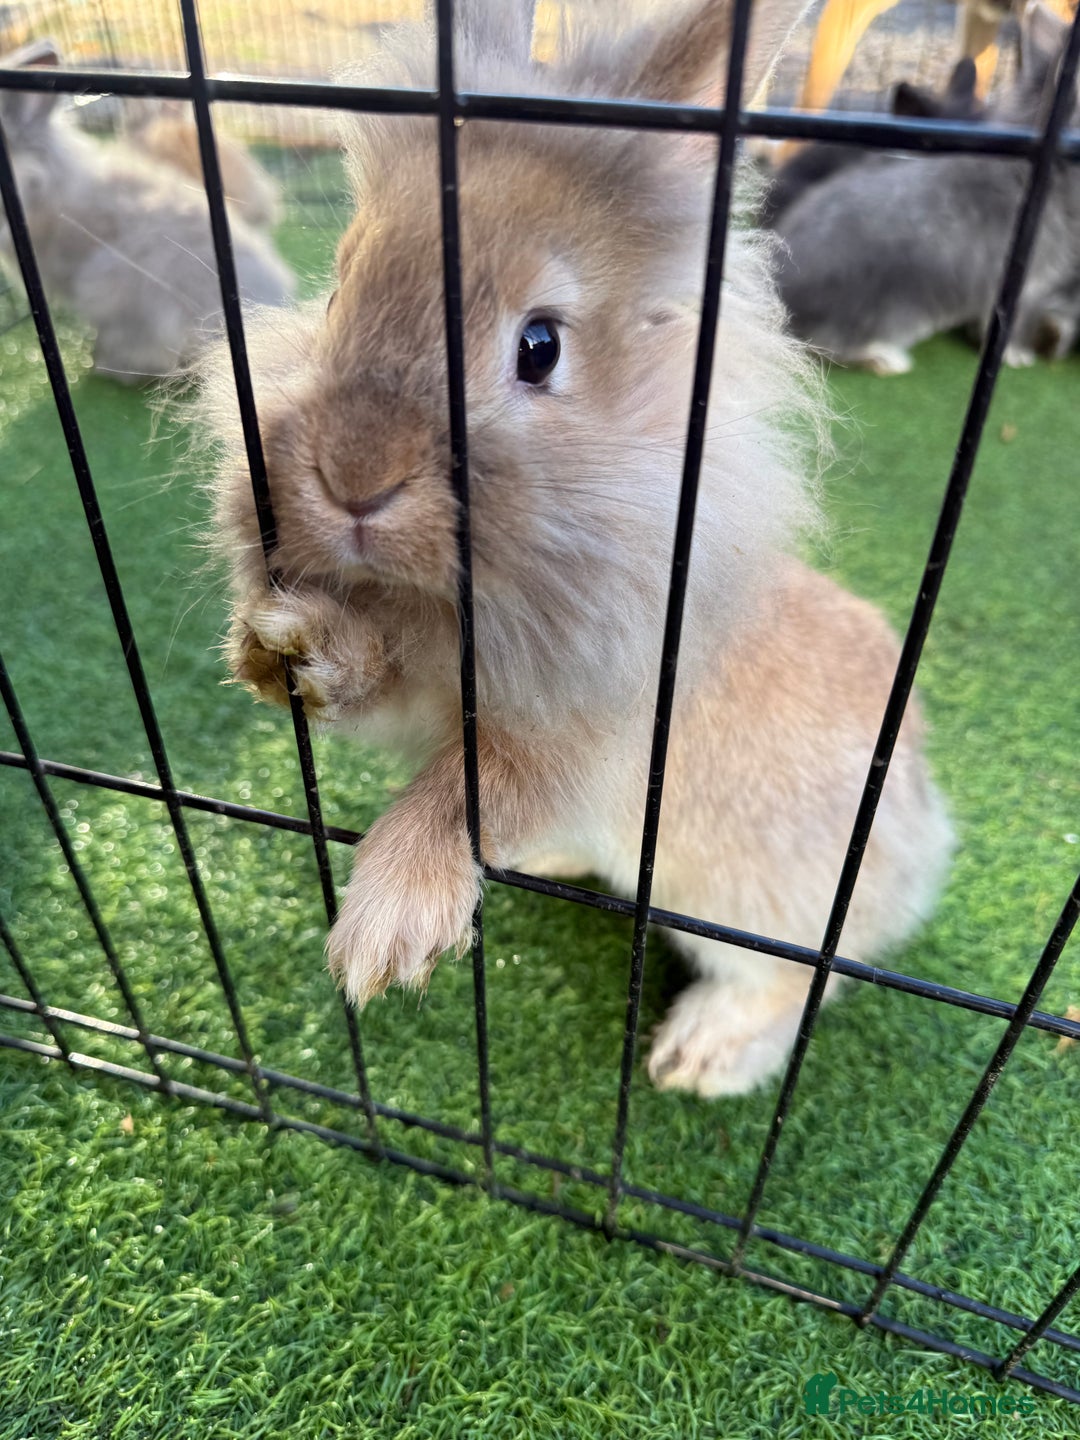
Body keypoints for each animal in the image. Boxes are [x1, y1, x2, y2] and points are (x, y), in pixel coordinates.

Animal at [200, 0, 953, 1099]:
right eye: (339, 287)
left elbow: (471, 795)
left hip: (747, 904)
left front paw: (388, 930)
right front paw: (279, 646)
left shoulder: (584, 739)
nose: (352, 476)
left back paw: (702, 1055)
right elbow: (370, 677)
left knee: (799, 980)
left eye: (539, 346)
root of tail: (920, 819)